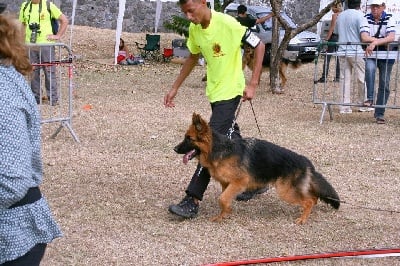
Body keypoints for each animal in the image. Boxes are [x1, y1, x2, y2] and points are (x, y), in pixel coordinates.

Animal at [173, 113, 340, 223]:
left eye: (189, 138)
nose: (174, 149)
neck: (219, 149)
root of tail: (305, 161)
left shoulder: (238, 182)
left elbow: (222, 199)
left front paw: (225, 213)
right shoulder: (227, 184)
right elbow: (224, 200)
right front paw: (223, 214)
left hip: (285, 191)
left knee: (310, 200)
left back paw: (302, 219)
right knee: (313, 198)